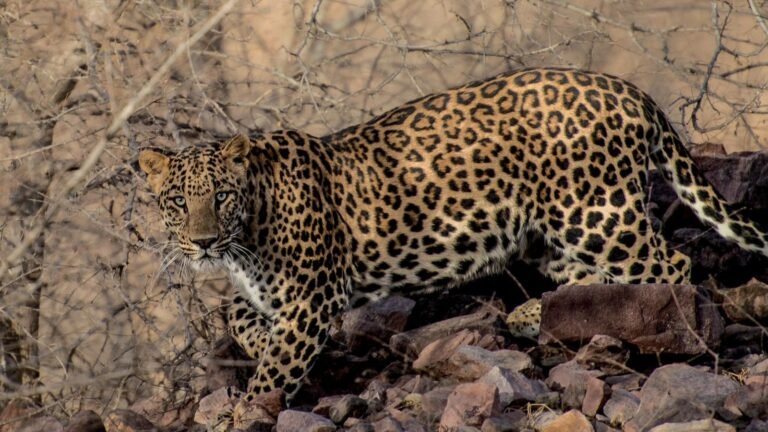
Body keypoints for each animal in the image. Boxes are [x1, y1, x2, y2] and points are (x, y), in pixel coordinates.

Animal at [138, 67, 768, 403]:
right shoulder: (275, 294)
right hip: (548, 236)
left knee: (670, 267)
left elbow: (277, 366)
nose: (203, 242)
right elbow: (239, 316)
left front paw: (247, 405)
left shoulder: (314, 298)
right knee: (586, 278)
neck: (250, 225)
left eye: (221, 197)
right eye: (178, 202)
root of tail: (628, 89)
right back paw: (531, 315)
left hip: (597, 214)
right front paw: (257, 342)